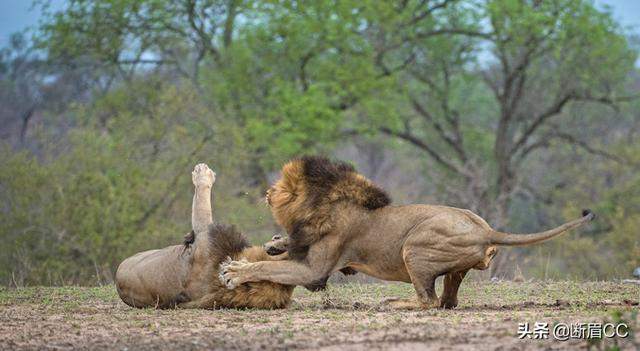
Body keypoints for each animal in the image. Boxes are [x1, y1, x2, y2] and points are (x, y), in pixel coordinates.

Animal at [219, 157, 596, 310]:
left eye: (279, 187)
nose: (266, 193)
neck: (320, 204)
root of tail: (487, 230)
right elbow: (278, 256)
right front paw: (274, 243)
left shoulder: (316, 270)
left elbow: (271, 268)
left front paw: (234, 272)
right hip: (452, 268)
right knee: (447, 301)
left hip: (414, 247)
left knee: (428, 301)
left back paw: (392, 303)